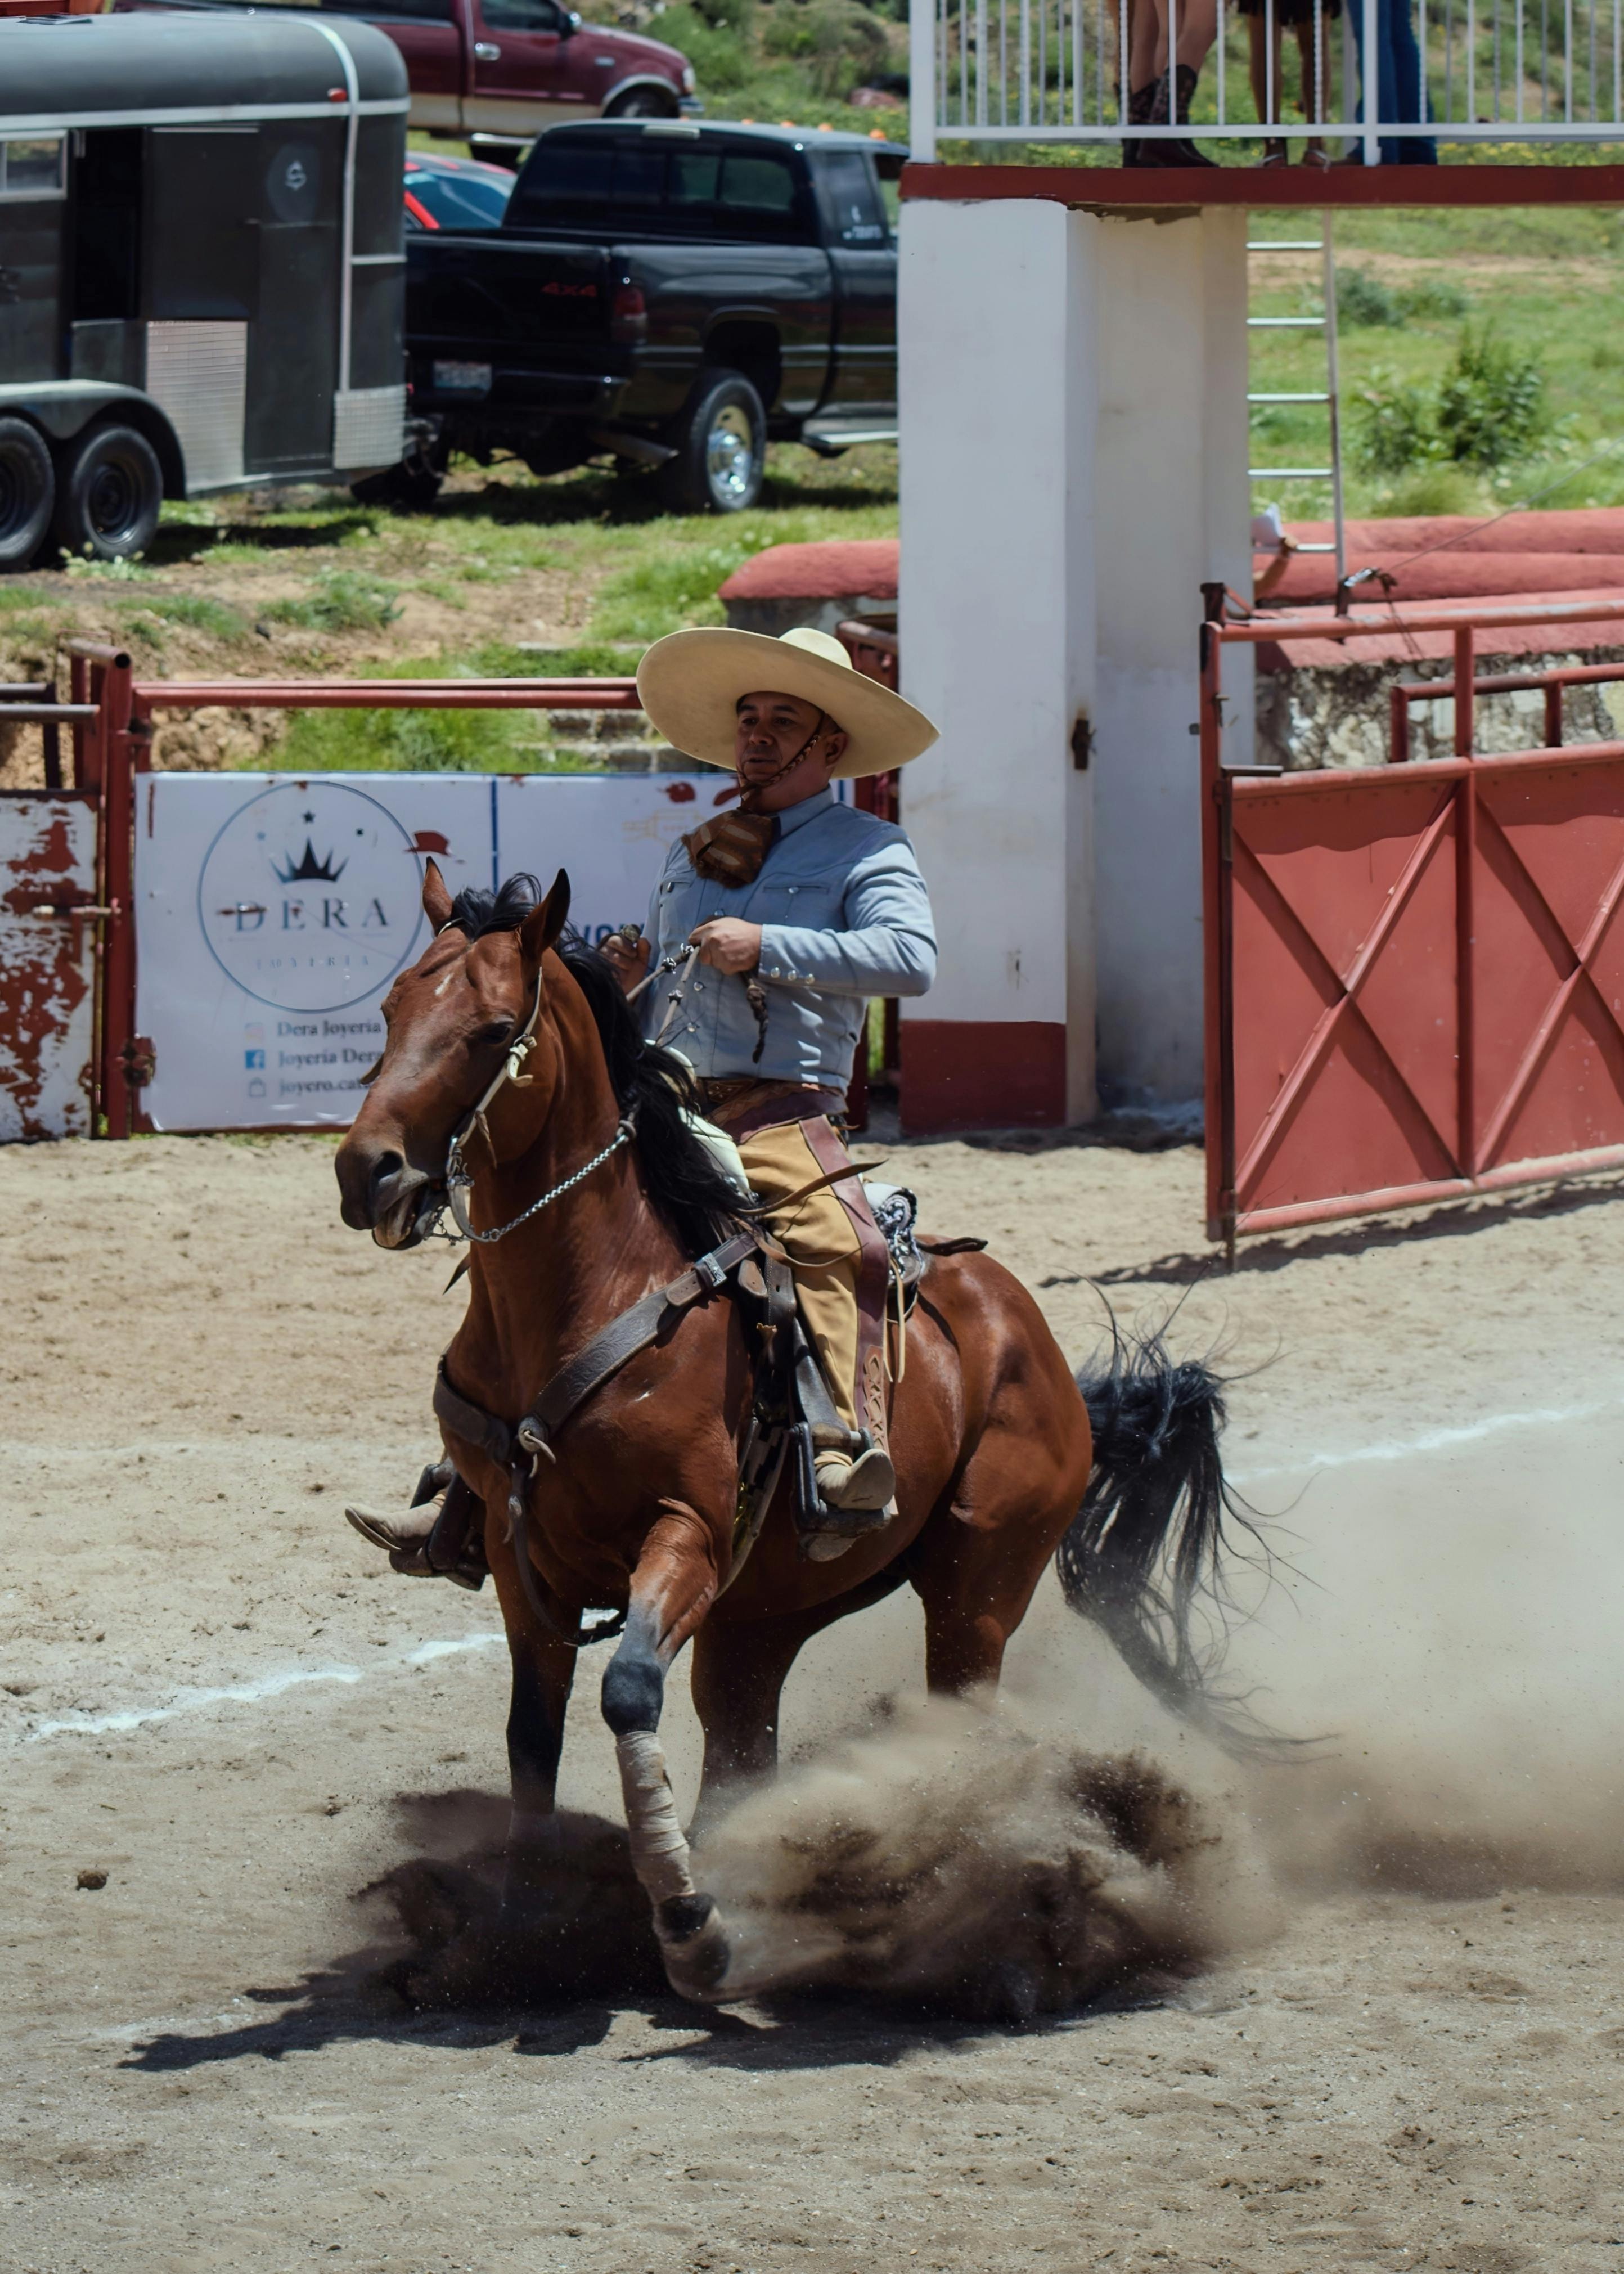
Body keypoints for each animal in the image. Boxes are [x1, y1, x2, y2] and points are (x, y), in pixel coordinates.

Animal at [335, 862, 1252, 2003]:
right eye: (391, 1009)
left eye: (494, 1027)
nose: (366, 1171)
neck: (594, 1294)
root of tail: (1039, 1348)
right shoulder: (519, 1559)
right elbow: (530, 1737)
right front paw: (517, 1935)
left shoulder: (684, 1532)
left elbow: (627, 1692)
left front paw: (690, 1924)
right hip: (760, 1622)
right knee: (741, 1740)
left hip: (978, 1585)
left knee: (963, 1716)